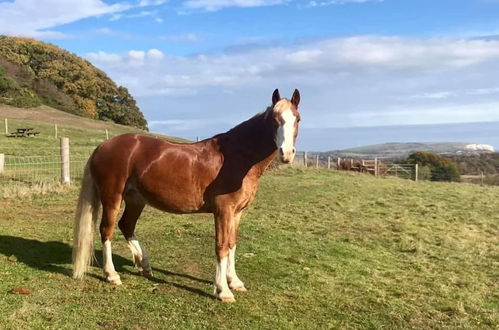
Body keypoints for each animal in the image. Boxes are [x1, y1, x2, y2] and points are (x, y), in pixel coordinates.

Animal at [72, 87, 302, 302]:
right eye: (274, 120)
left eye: (297, 118)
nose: (286, 154)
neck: (237, 156)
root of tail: (102, 146)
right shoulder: (223, 211)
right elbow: (221, 246)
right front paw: (223, 290)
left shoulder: (237, 212)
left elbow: (232, 244)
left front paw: (234, 282)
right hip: (112, 197)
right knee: (107, 230)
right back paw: (112, 275)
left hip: (136, 200)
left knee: (126, 226)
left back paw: (144, 265)